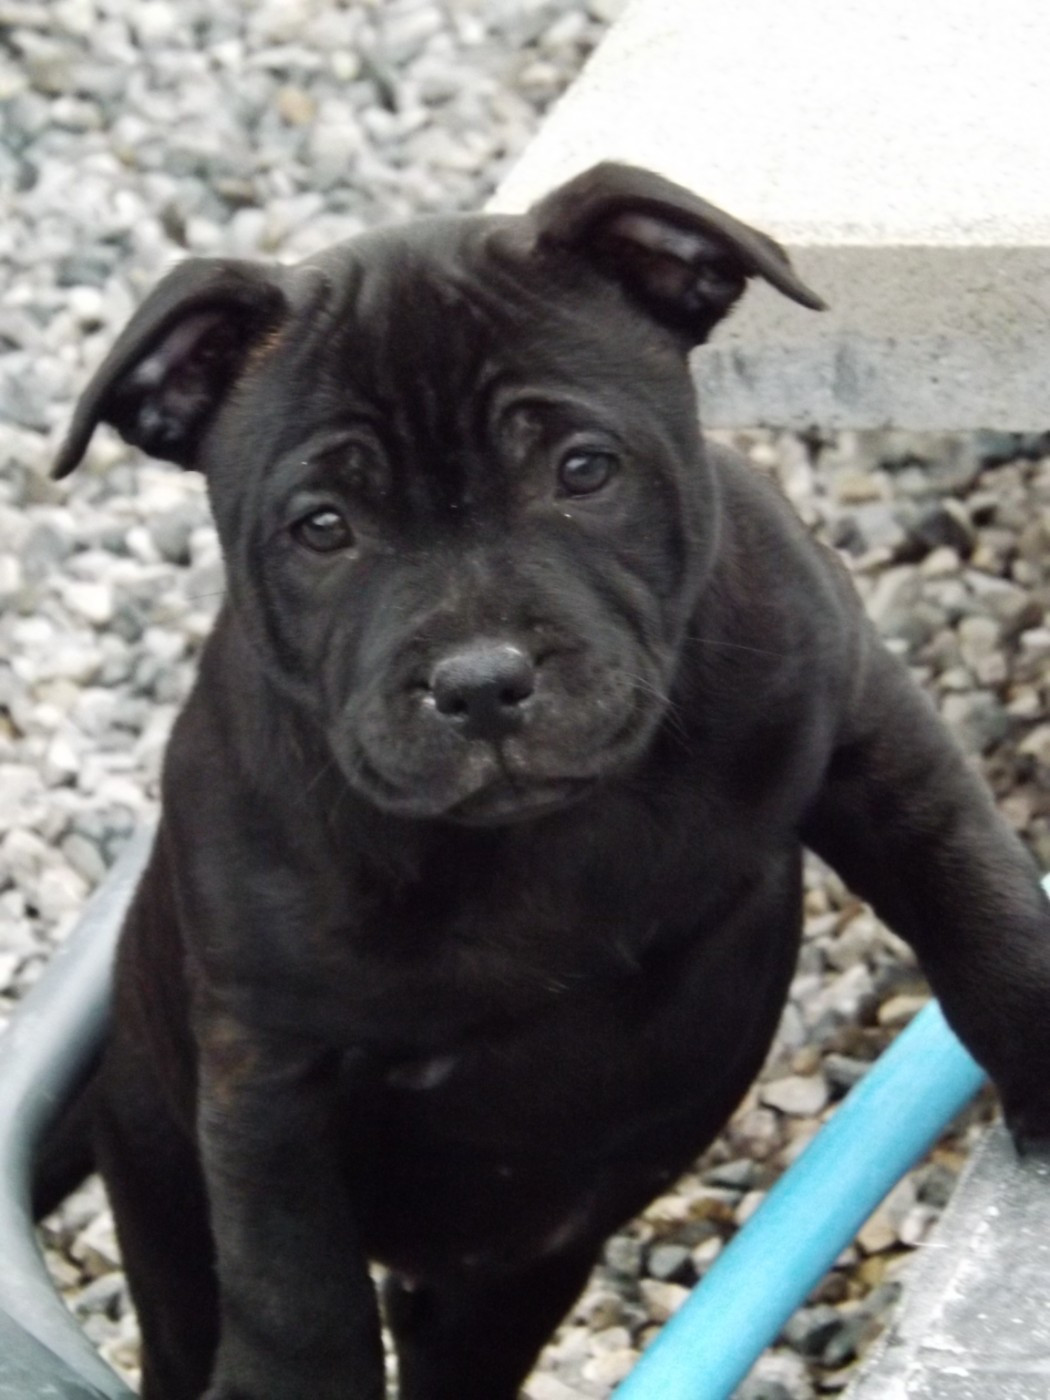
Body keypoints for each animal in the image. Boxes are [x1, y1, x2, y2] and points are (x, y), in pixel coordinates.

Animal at [48, 163, 1050, 1400]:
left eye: (583, 469)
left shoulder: (871, 738)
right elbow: (293, 1291)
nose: (481, 681)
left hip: (509, 1278)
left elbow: (980, 904)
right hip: (165, 1197)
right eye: (322, 527)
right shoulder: (267, 1068)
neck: (544, 836)